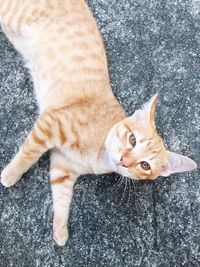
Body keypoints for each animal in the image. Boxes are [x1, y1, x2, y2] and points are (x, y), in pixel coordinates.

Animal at [0, 0, 197, 247]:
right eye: (132, 139)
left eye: (145, 165)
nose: (123, 160)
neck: (97, 157)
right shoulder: (51, 123)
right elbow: (28, 153)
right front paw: (10, 175)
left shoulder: (63, 167)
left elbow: (62, 198)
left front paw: (60, 231)